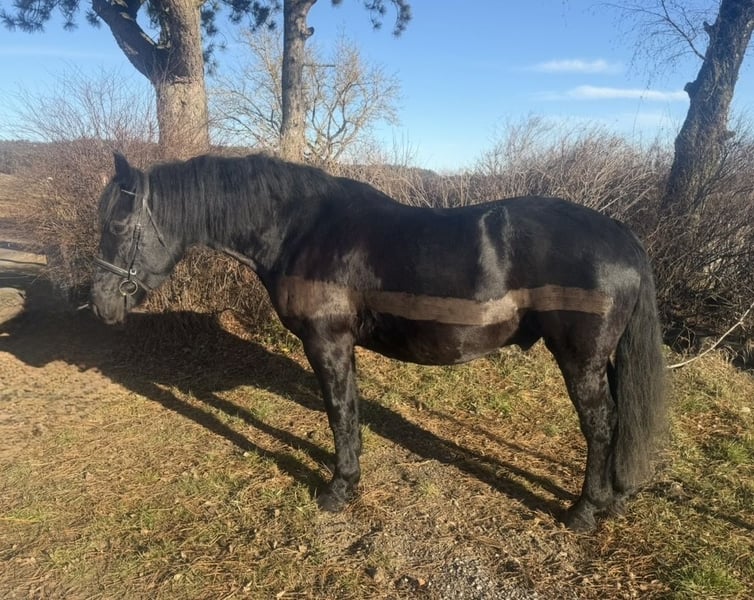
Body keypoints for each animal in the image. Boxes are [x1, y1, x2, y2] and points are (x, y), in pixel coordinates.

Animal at [90, 152, 666, 532]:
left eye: (117, 225)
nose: (99, 304)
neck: (301, 229)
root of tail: (624, 238)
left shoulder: (327, 344)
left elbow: (340, 414)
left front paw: (340, 489)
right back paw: (613, 499)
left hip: (581, 359)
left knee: (600, 425)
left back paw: (584, 512)